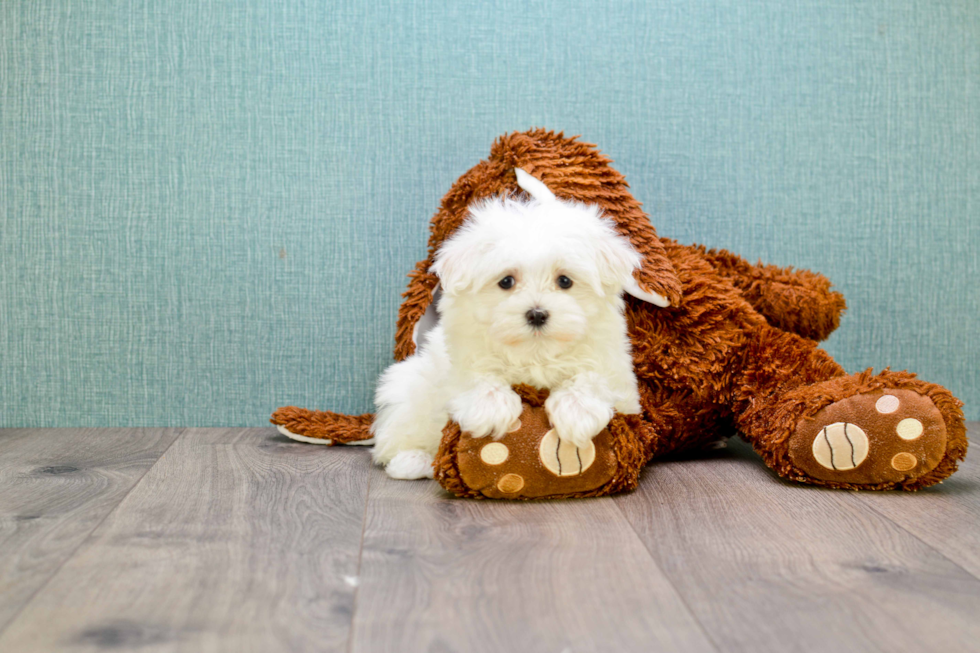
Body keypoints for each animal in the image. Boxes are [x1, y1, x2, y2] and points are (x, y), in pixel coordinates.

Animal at [372, 171, 648, 478]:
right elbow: (475, 375)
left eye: (565, 281)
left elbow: (594, 377)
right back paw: (413, 460)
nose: (537, 314)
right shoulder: (458, 354)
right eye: (506, 281)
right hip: (407, 392)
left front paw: (576, 412)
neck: (535, 353)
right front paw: (491, 409)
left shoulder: (616, 369)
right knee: (395, 439)